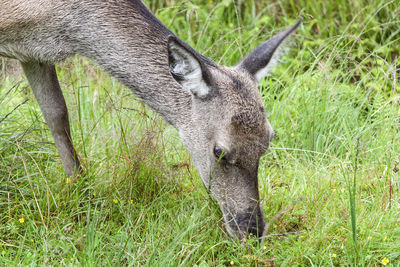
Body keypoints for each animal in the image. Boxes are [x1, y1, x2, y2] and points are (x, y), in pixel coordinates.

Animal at [0, 0, 300, 239]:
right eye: (219, 151)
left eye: (269, 140)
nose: (252, 231)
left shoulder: (34, 52)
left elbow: (57, 114)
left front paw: (80, 191)